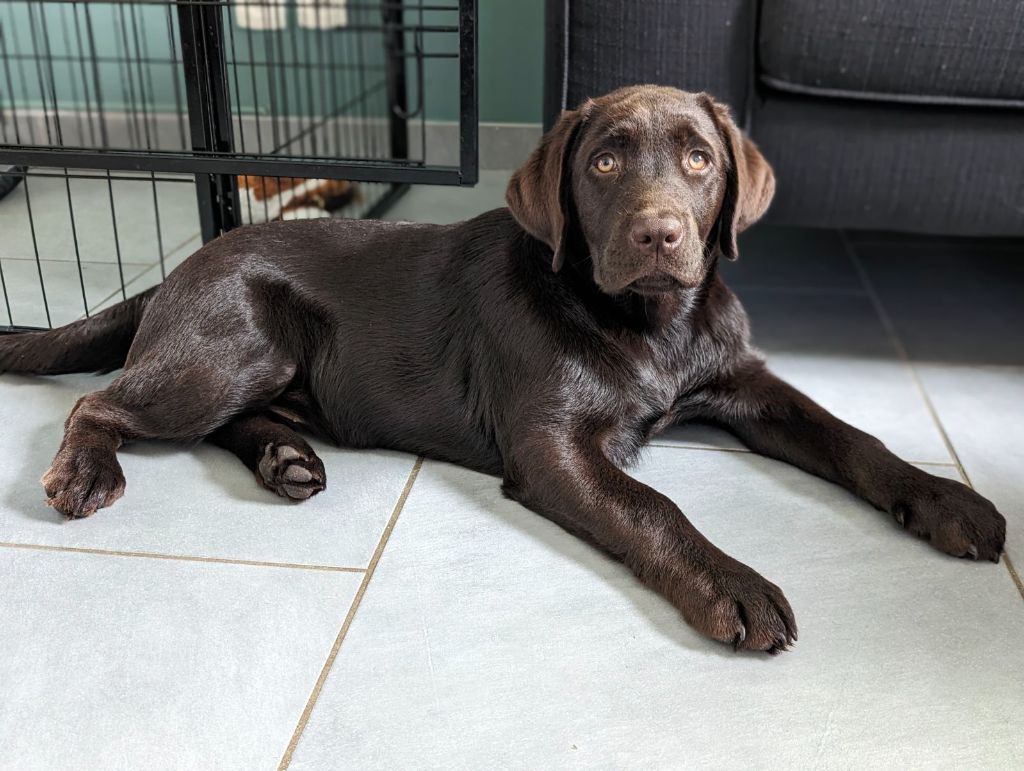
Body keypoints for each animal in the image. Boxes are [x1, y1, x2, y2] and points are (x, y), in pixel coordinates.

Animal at [0, 85, 1007, 651]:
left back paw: (288, 459)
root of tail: (177, 269)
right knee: (98, 403)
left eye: (698, 158)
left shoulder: (745, 383)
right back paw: (87, 471)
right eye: (604, 163)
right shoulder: (552, 443)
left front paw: (948, 499)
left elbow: (852, 436)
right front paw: (734, 583)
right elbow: (655, 505)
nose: (659, 234)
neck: (649, 323)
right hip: (234, 346)